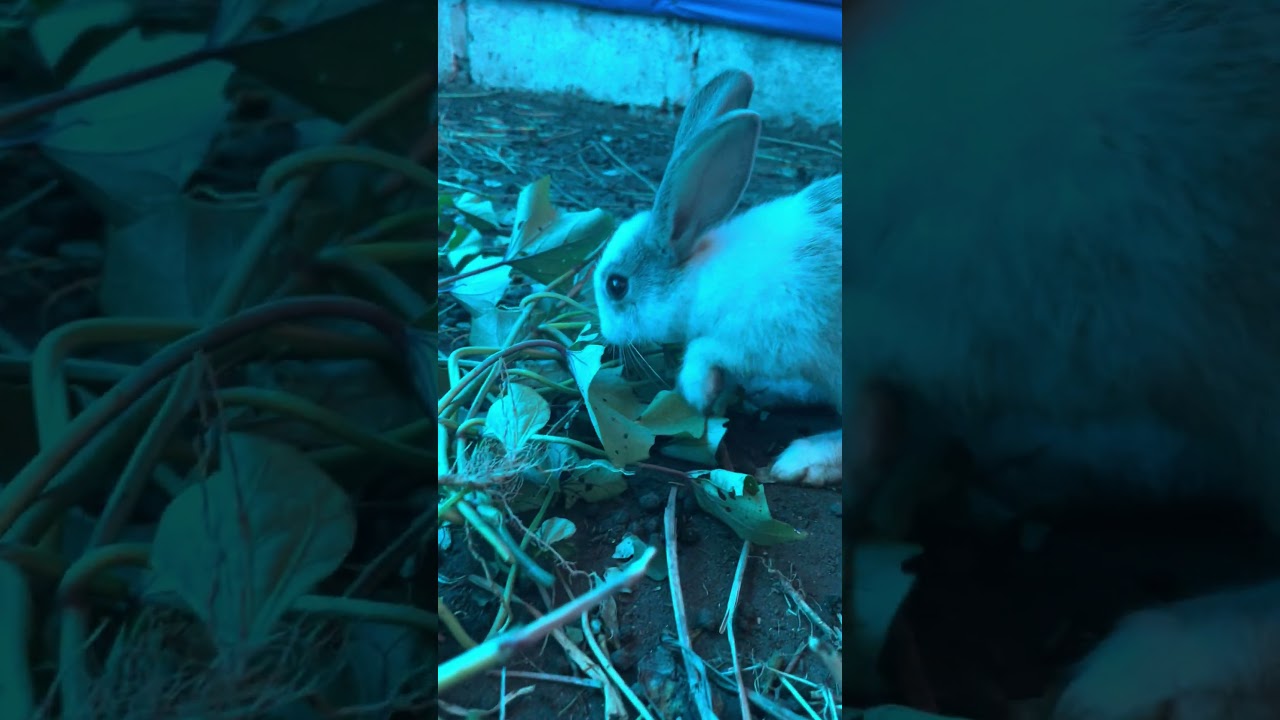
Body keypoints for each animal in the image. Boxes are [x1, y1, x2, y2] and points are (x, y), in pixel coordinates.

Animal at [592, 69, 844, 486]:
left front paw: (699, 392)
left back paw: (802, 460)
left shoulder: (763, 337)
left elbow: (703, 349)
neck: (699, 280)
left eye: (616, 285)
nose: (606, 335)